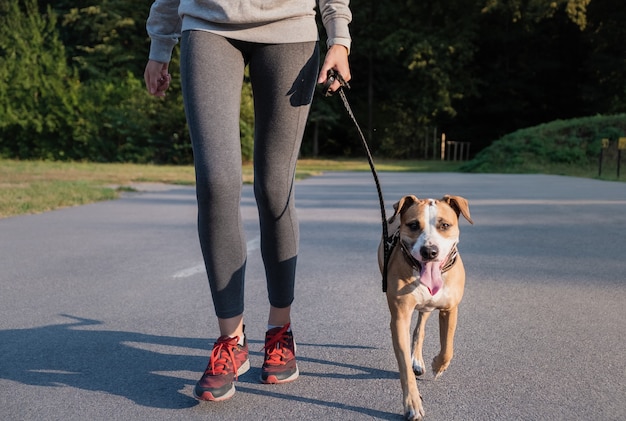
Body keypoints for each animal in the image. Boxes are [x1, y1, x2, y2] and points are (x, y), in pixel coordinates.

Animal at [376, 194, 472, 420]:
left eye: (444, 225)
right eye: (413, 225)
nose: (429, 251)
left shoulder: (450, 310)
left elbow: (447, 347)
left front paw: (438, 365)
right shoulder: (400, 319)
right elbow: (404, 367)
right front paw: (412, 403)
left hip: (428, 308)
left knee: (420, 329)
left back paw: (419, 360)